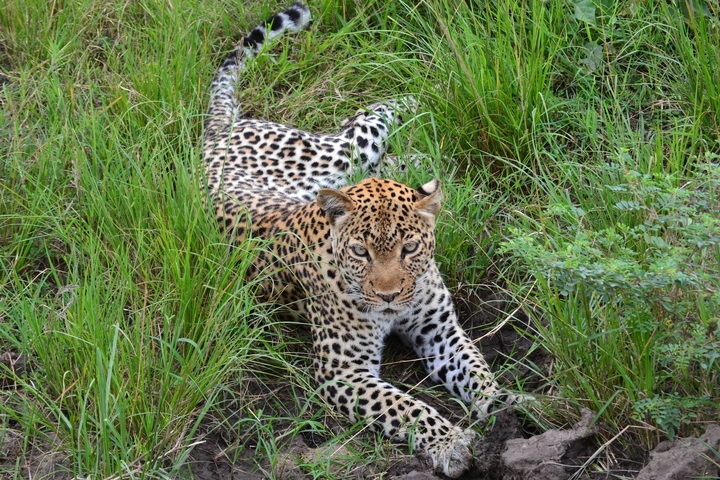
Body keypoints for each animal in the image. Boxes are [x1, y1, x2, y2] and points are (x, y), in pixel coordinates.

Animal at [201, 2, 518, 477]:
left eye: (409, 248)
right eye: (360, 252)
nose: (388, 297)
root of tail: (213, 138)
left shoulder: (441, 332)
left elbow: (477, 370)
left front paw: (507, 406)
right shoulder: (343, 371)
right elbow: (405, 407)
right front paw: (451, 442)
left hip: (339, 163)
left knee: (379, 144)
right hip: (332, 154)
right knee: (364, 120)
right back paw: (425, 93)